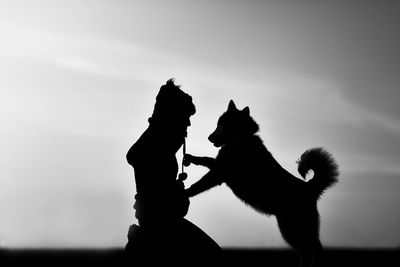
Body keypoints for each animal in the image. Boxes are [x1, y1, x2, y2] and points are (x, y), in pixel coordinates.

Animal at [184, 100, 338, 267]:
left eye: (222, 125)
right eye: (218, 124)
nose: (209, 138)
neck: (241, 140)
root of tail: (310, 187)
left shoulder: (218, 174)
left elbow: (198, 185)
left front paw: (186, 192)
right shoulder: (219, 166)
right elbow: (206, 159)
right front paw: (191, 158)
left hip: (291, 228)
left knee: (308, 250)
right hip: (304, 228)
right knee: (314, 248)